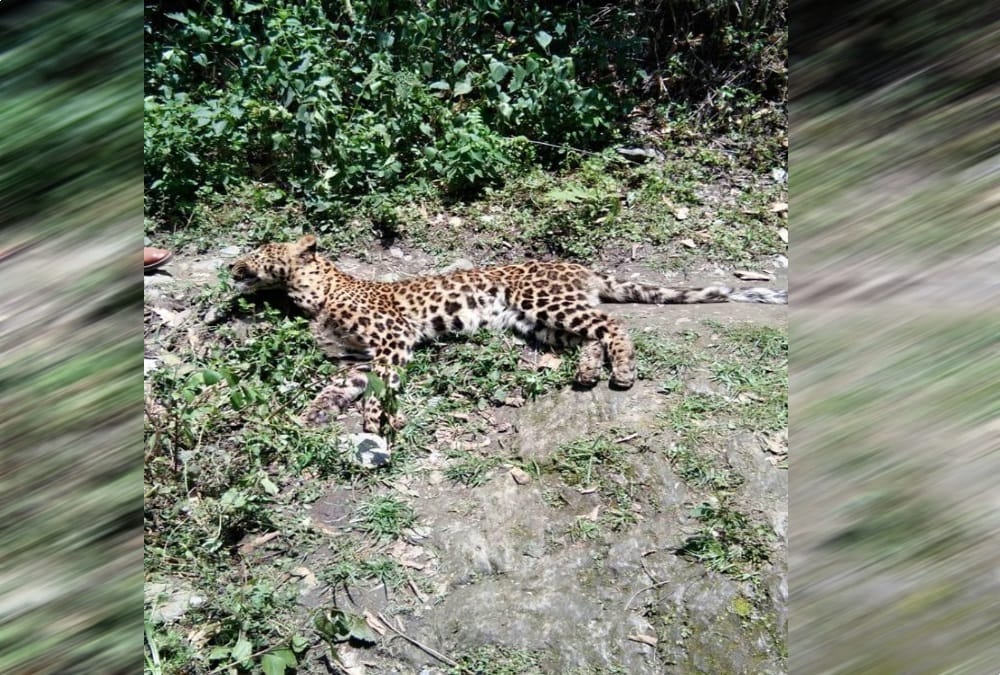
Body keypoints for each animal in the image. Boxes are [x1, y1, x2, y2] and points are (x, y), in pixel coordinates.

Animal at [230, 234, 786, 434]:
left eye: (258, 252)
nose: (233, 264)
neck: (312, 295)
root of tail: (581, 267)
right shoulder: (359, 360)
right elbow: (341, 386)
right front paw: (314, 412)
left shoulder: (392, 342)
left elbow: (380, 389)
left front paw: (375, 423)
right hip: (537, 322)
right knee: (590, 337)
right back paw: (588, 373)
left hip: (544, 303)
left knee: (613, 324)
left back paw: (623, 370)